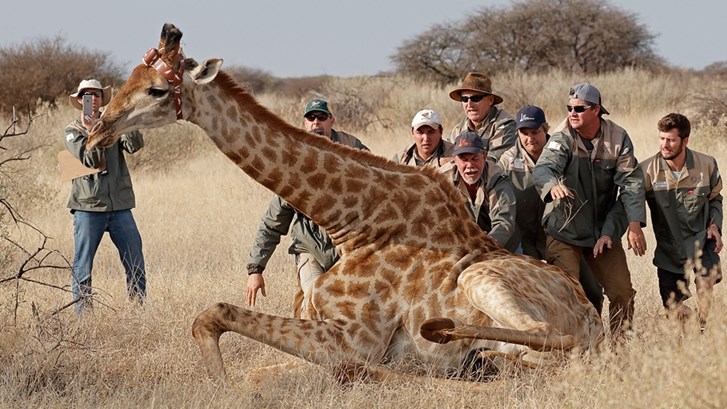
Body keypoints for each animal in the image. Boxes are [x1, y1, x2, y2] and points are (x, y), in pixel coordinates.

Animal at [88, 23, 604, 382]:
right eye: (128, 77)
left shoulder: (355, 339)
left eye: (156, 89)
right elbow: (249, 366)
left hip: (482, 278)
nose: (97, 131)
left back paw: (451, 347)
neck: (352, 223)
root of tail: (592, 316)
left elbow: (214, 317)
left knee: (550, 340)